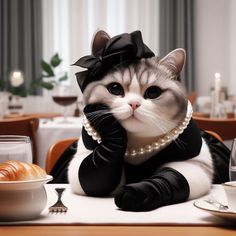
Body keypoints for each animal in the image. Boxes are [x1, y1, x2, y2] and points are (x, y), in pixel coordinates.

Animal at [67, 30, 230, 212]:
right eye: (115, 88)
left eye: (153, 92)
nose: (133, 104)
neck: (137, 144)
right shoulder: (81, 160)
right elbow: (95, 175)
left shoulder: (196, 161)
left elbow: (172, 177)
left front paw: (139, 192)